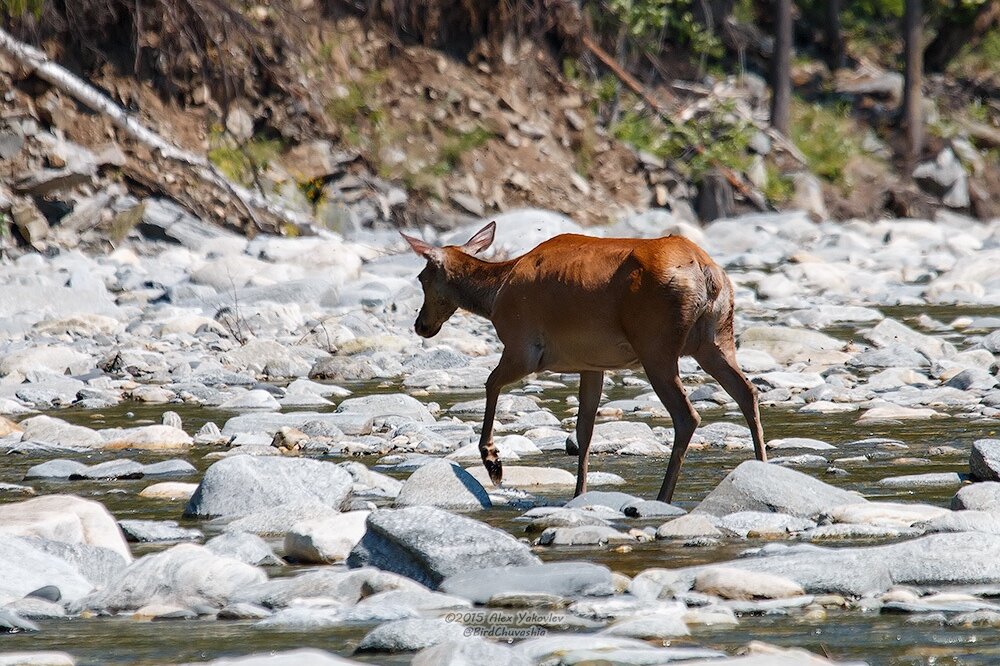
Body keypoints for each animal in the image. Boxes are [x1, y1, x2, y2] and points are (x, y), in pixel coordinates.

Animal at [398, 220, 764, 500]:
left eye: (421, 278)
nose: (421, 325)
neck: (495, 293)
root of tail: (708, 272)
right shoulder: (592, 364)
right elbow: (584, 430)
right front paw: (579, 494)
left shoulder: (523, 347)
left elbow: (490, 384)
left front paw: (493, 462)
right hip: (715, 339)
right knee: (747, 393)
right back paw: (760, 469)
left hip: (656, 345)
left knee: (687, 415)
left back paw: (664, 496)